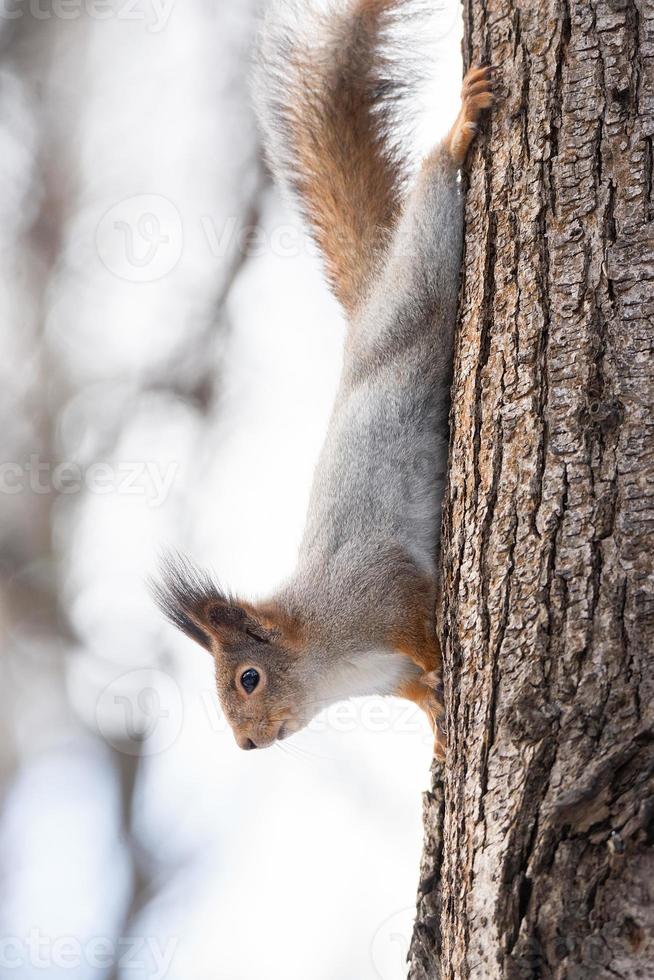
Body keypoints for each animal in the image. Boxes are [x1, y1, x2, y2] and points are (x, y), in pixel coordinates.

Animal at [152, 0, 492, 756]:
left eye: (247, 679)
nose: (246, 746)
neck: (327, 653)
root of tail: (368, 306)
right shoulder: (384, 671)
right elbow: (413, 689)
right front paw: (435, 715)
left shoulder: (381, 593)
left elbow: (421, 621)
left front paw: (441, 665)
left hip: (421, 285)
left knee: (433, 202)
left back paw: (457, 133)